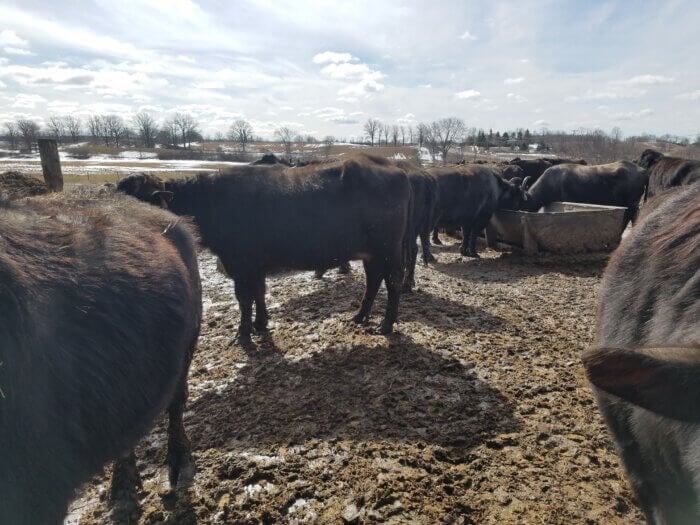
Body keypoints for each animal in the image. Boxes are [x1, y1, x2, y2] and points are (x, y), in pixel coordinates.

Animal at [117, 154, 412, 338]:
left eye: (141, 202)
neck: (211, 202)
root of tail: (395, 170)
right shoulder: (254, 265)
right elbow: (259, 292)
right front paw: (260, 324)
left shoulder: (240, 263)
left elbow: (244, 298)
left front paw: (243, 333)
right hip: (371, 253)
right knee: (373, 280)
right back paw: (360, 316)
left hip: (388, 249)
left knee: (393, 281)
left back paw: (386, 324)